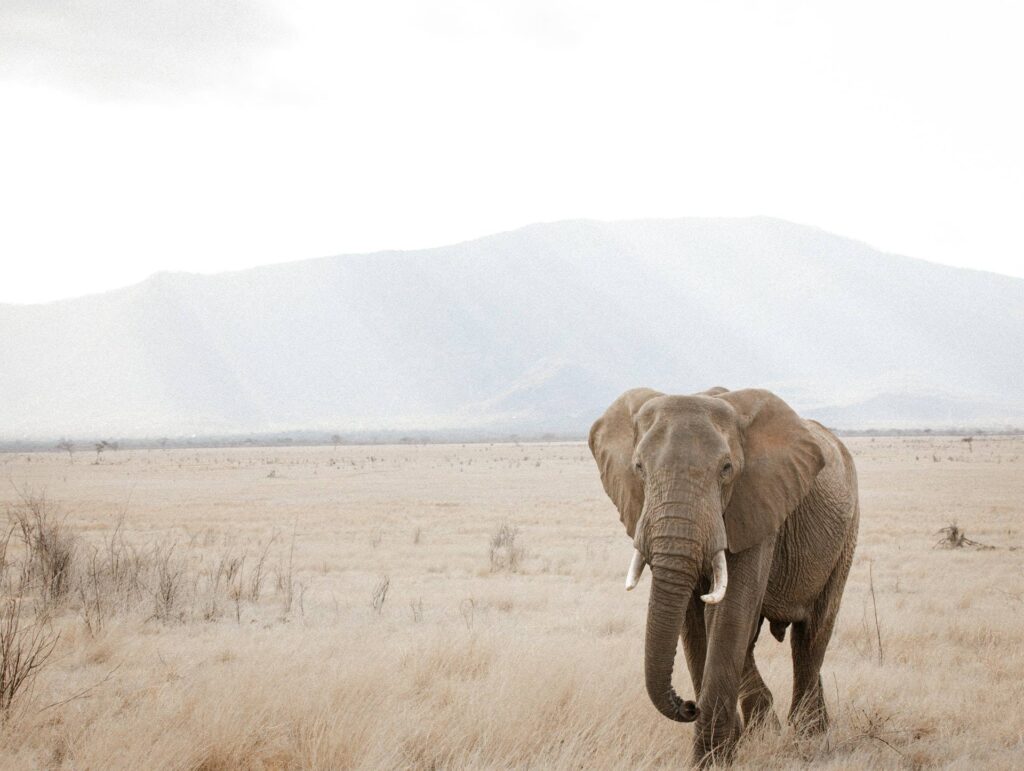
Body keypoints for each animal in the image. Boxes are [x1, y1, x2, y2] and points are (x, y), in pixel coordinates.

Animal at [589, 387, 859, 765]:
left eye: (727, 469)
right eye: (639, 468)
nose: (688, 705)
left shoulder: (757, 505)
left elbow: (729, 614)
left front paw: (713, 760)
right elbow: (692, 620)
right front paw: (723, 750)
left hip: (845, 536)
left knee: (811, 636)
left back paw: (808, 736)